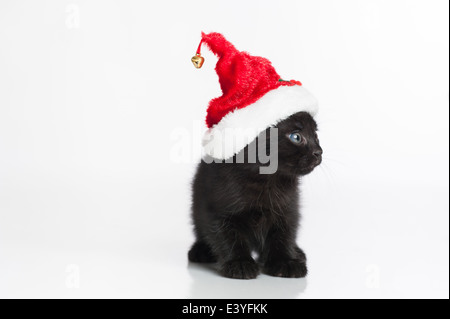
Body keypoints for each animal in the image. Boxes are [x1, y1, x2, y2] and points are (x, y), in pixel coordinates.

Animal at [188, 112, 322, 280]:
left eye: (316, 135)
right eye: (296, 137)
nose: (319, 152)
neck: (266, 181)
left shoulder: (287, 208)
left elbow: (284, 235)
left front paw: (285, 261)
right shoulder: (217, 211)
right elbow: (227, 237)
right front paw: (240, 263)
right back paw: (201, 251)